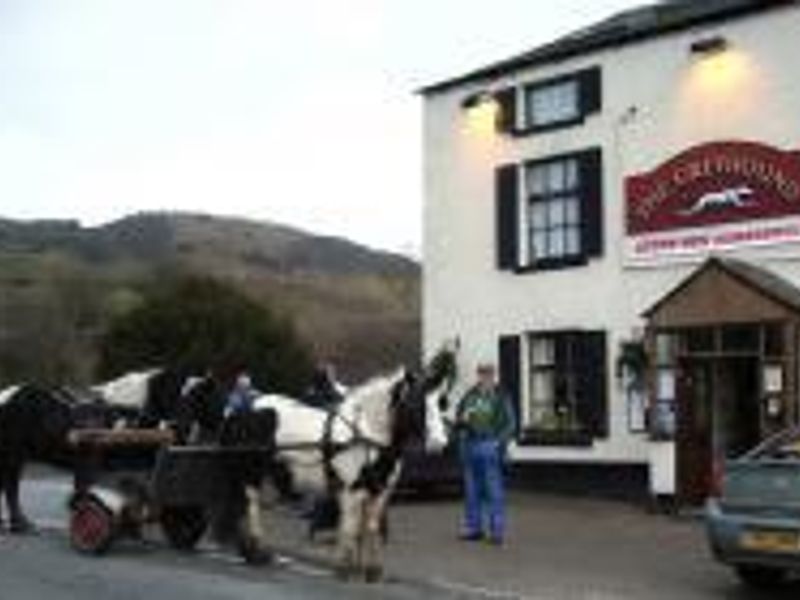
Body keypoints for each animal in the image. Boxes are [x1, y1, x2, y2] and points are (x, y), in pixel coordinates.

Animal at [0, 382, 109, 532]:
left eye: (99, 418)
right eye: (77, 420)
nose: (91, 431)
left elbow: (84, 478)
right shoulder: (14, 447)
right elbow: (12, 484)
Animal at [234, 342, 460, 580]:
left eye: (442, 403)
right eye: (417, 404)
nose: (440, 442)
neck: (367, 434)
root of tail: (252, 404)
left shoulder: (379, 492)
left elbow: (369, 527)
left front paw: (370, 570)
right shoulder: (352, 490)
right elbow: (350, 528)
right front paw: (344, 567)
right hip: (252, 471)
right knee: (252, 505)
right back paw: (256, 551)